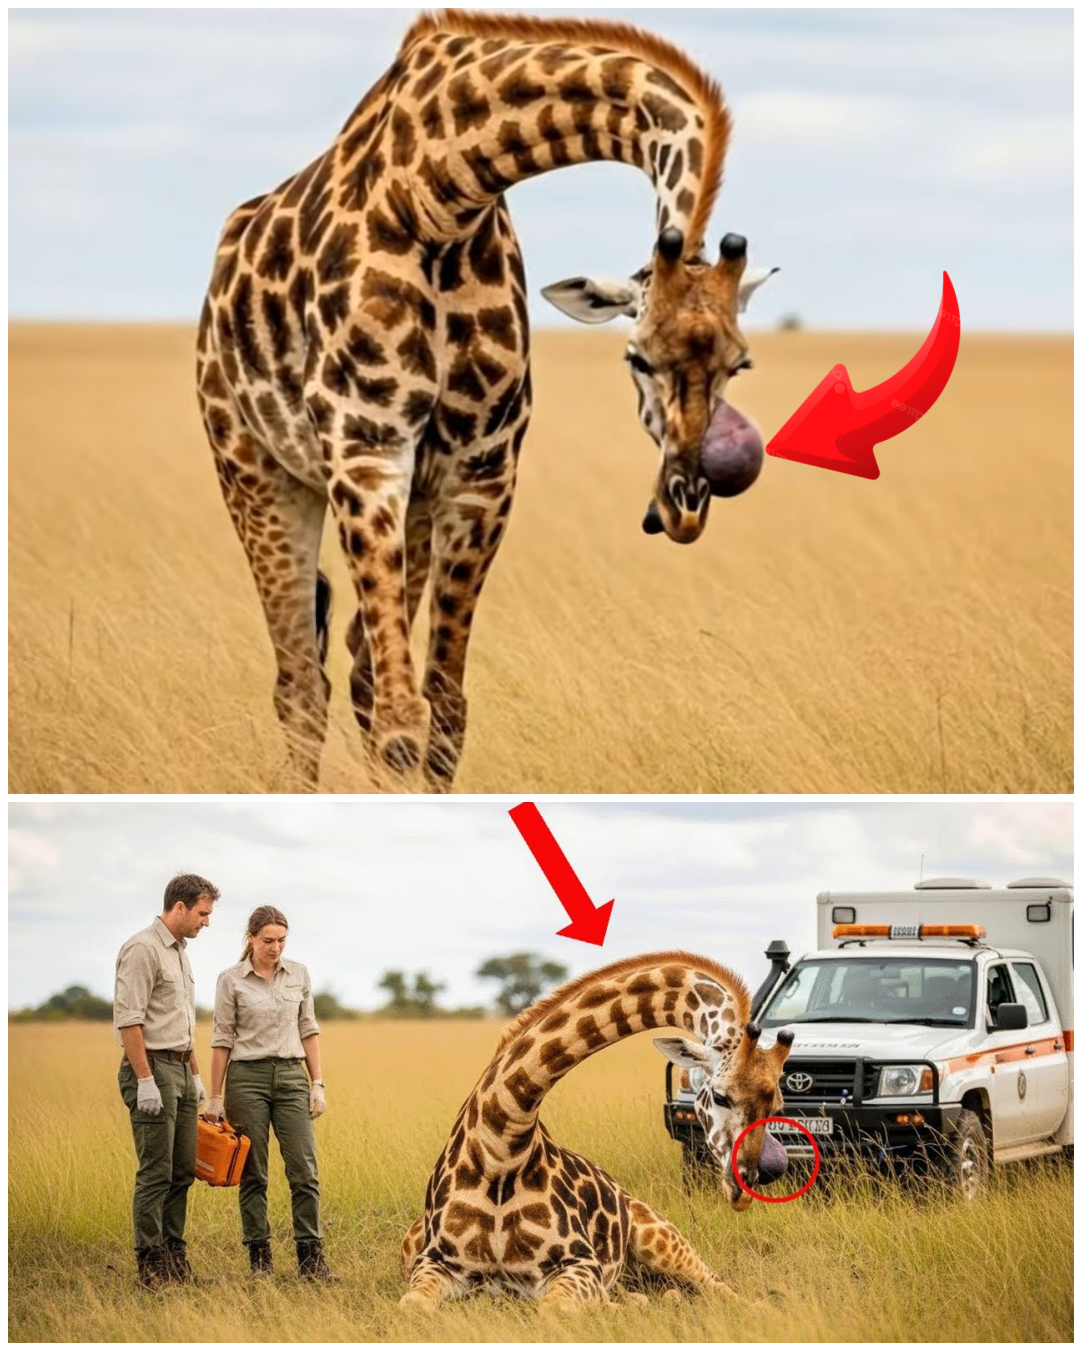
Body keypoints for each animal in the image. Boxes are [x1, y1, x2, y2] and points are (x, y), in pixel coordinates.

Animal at [195, 10, 778, 791]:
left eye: (740, 363)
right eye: (636, 356)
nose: (682, 508)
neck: (442, 195)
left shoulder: (480, 472)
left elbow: (444, 714)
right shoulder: (366, 451)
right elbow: (404, 721)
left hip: (409, 502)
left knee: (356, 666)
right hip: (254, 469)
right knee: (300, 683)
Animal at [398, 951, 794, 1311]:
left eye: (777, 1108)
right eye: (721, 1096)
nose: (744, 1188)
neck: (500, 1146)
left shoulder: (579, 1262)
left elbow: (555, 1308)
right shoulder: (435, 1261)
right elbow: (411, 1304)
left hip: (662, 1239)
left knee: (719, 1288)